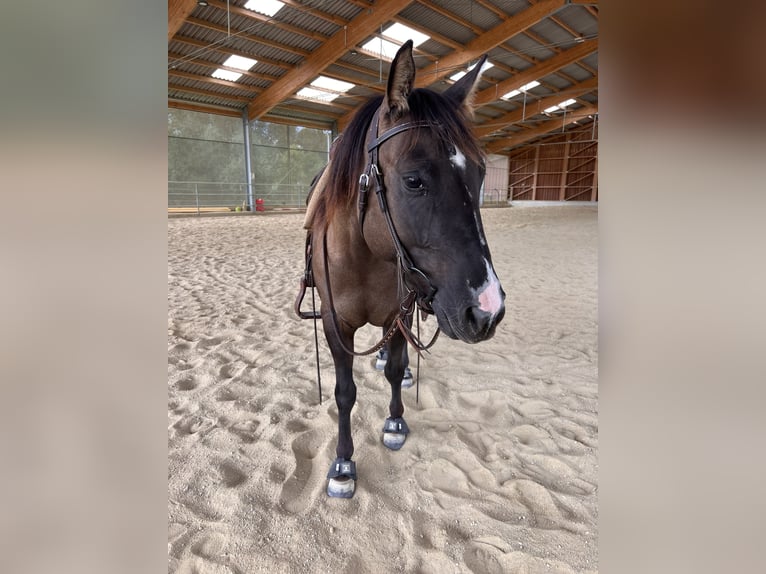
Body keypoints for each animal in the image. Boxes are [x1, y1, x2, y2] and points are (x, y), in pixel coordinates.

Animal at [295, 40, 505, 498]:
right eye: (413, 181)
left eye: (481, 173)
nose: (488, 309)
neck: (365, 252)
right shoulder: (335, 323)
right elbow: (344, 392)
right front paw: (343, 464)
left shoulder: (400, 310)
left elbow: (393, 368)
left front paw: (394, 421)